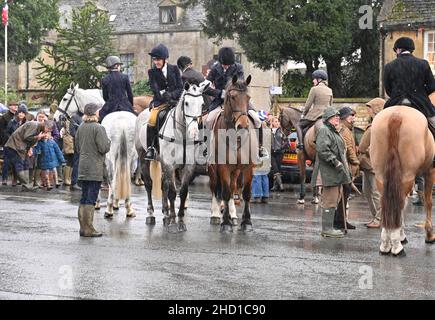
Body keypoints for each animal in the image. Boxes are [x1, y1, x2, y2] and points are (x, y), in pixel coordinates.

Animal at [137, 81, 210, 231]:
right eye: (186, 103)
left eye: (201, 104)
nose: (194, 131)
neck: (182, 135)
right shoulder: (170, 165)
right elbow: (172, 192)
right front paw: (172, 220)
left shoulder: (187, 166)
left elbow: (183, 192)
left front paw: (180, 220)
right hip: (143, 157)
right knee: (149, 184)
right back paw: (151, 214)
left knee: (163, 185)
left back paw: (165, 213)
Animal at [209, 74, 258, 232]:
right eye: (232, 97)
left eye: (248, 97)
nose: (242, 125)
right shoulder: (223, 167)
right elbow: (224, 192)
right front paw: (225, 223)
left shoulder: (248, 167)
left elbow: (246, 193)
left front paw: (247, 222)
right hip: (212, 169)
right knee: (215, 188)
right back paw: (216, 215)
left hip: (236, 171)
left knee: (232, 188)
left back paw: (233, 215)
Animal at [372, 105, 435, 258]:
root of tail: (397, 115)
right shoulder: (430, 171)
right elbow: (429, 202)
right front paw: (429, 234)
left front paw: (401, 235)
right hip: (408, 175)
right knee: (400, 202)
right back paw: (396, 246)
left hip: (381, 176)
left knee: (389, 203)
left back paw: (386, 243)